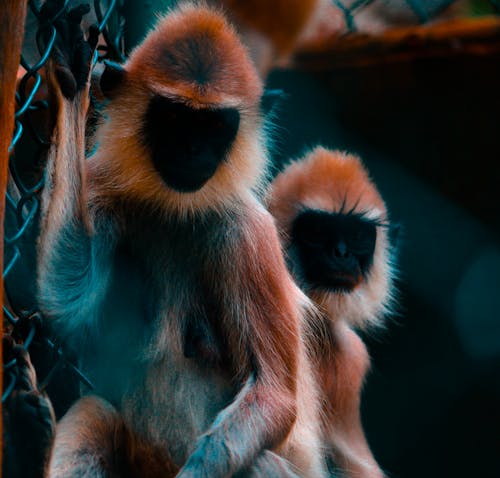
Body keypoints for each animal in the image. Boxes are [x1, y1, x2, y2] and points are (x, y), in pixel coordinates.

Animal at [37, 1, 326, 476]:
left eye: (213, 126)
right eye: (175, 118)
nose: (193, 150)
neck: (175, 209)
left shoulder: (249, 233)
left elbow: (277, 399)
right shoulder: (100, 185)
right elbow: (64, 299)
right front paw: (71, 82)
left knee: (258, 462)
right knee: (95, 412)